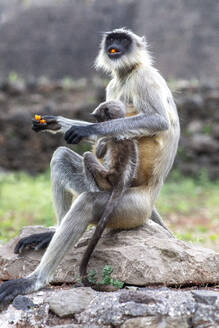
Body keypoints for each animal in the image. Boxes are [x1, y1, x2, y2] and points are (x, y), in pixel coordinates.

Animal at [80, 100, 139, 288]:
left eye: (98, 117)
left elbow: (99, 150)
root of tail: (120, 181)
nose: (96, 122)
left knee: (87, 156)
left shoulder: (109, 136)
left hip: (105, 178)